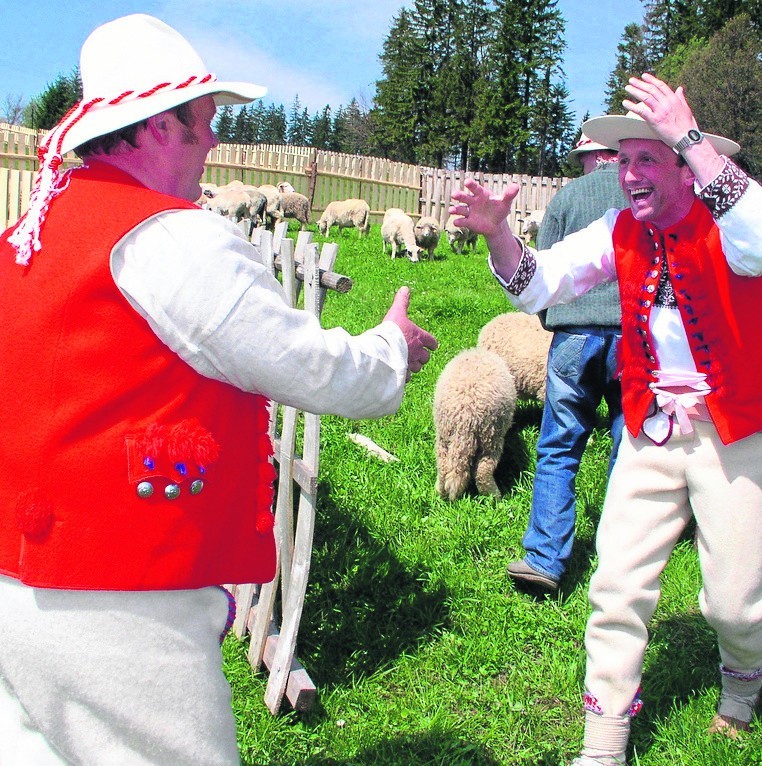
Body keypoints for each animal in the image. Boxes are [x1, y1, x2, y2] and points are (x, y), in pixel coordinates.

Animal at [434, 348, 516, 504]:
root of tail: (465, 418)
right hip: (490, 437)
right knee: (483, 472)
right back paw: (495, 498)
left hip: (444, 436)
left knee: (443, 467)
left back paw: (440, 493)